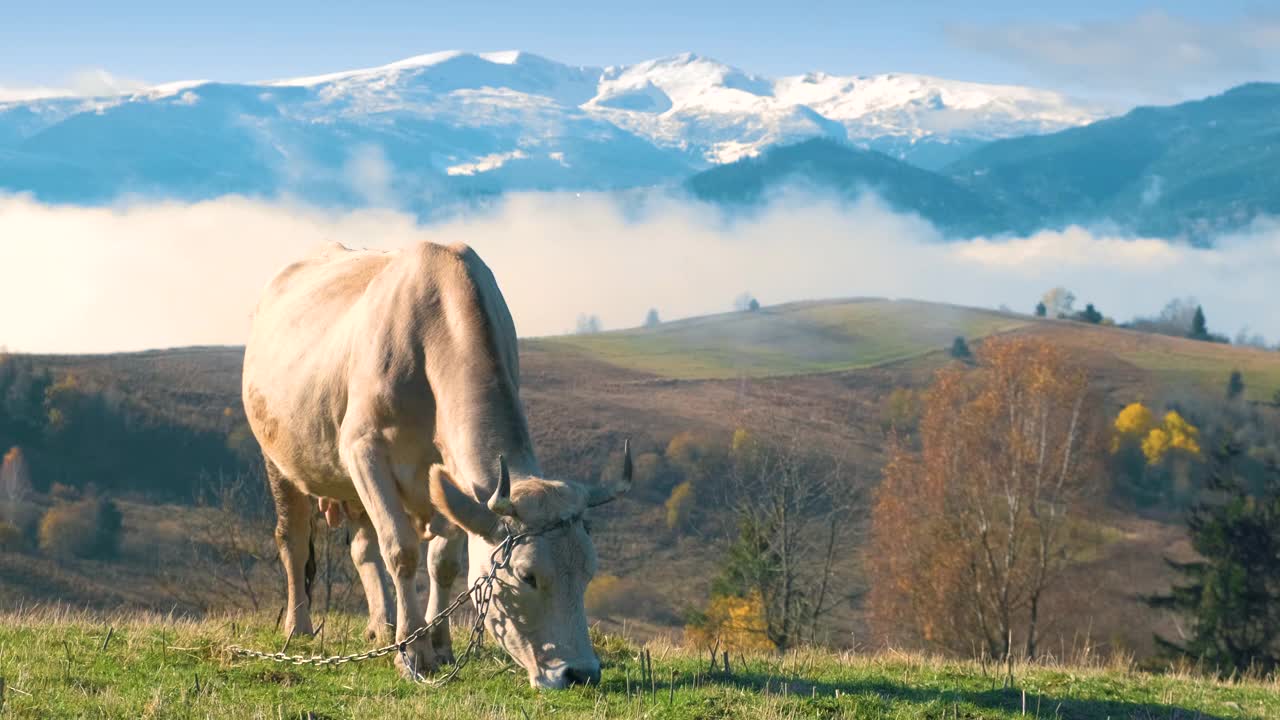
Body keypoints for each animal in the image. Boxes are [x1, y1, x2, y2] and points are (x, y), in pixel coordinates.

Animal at [240, 240, 629, 681]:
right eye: (527, 575)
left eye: (588, 571)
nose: (581, 672)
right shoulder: (364, 449)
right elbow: (401, 550)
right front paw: (410, 652)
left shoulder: (455, 480)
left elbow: (442, 561)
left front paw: (439, 645)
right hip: (278, 458)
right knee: (293, 541)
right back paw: (299, 627)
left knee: (362, 548)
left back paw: (381, 626)